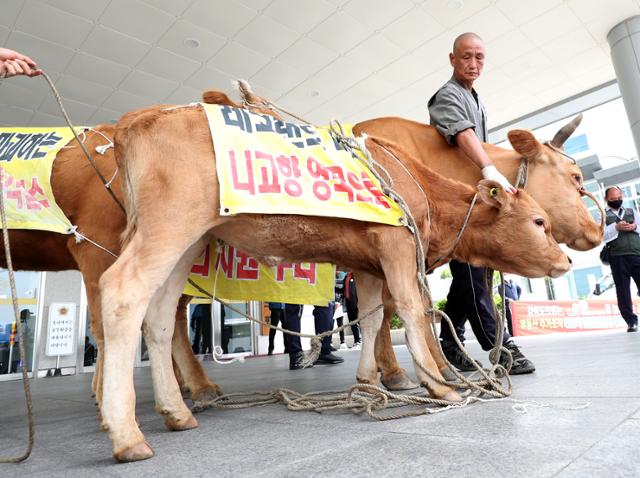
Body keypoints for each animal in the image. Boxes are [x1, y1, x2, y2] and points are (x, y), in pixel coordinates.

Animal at [99, 103, 568, 460]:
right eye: (539, 221)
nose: (565, 259)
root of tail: (140, 117)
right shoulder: (397, 243)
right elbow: (412, 310)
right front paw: (438, 383)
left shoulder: (370, 264)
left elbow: (375, 320)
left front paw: (367, 384)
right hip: (169, 226)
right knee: (121, 292)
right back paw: (127, 434)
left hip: (188, 243)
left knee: (160, 317)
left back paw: (176, 412)